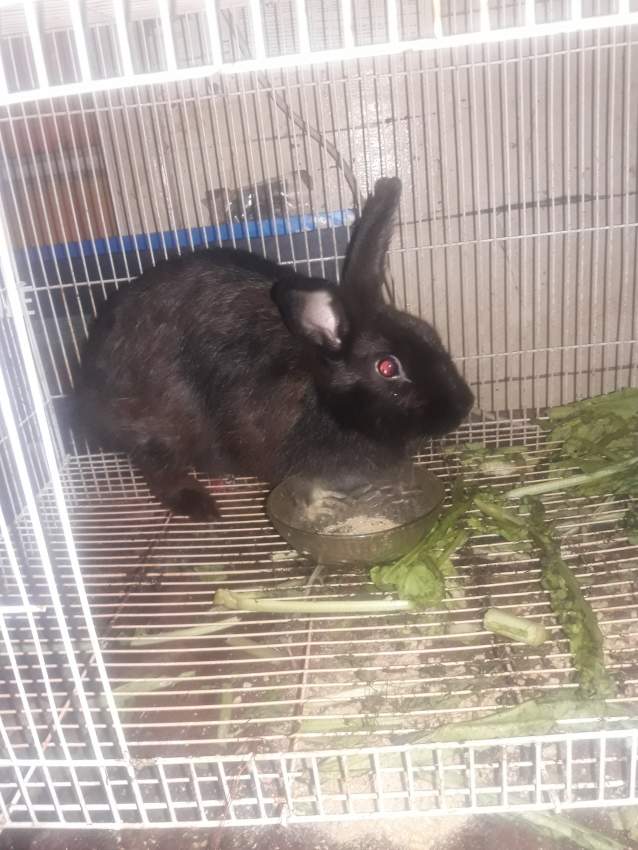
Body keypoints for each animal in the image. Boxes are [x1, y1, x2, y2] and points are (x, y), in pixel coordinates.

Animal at [75, 177, 473, 521]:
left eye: (428, 332)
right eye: (388, 367)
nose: (463, 406)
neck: (320, 394)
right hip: (160, 422)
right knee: (158, 468)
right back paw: (201, 505)